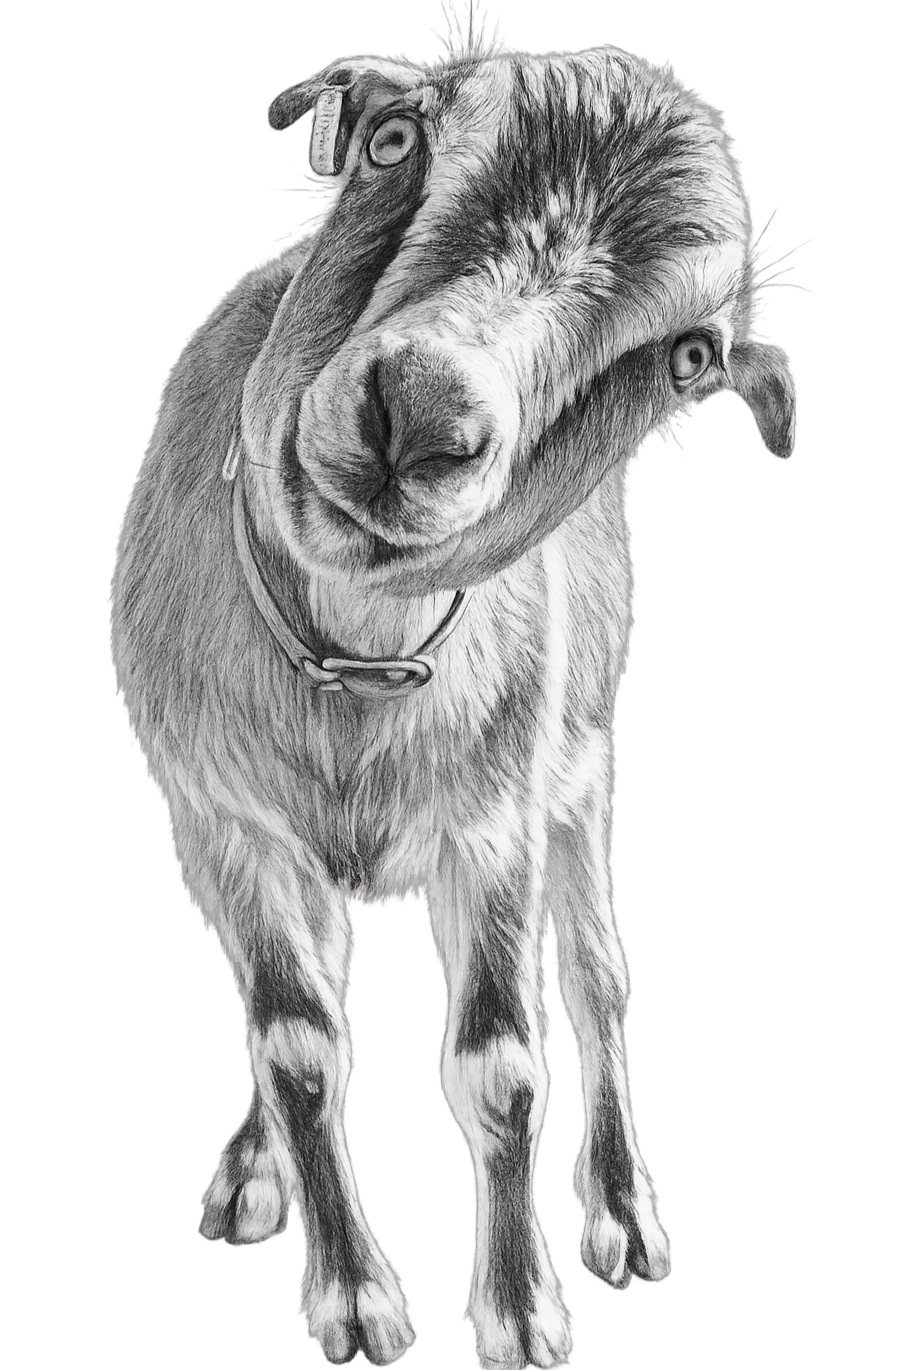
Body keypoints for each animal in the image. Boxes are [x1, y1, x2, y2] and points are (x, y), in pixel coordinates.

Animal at [113, 44, 795, 1370]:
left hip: (578, 775)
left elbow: (502, 1065)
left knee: (599, 976)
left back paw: (622, 1210)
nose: (422, 411)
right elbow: (297, 1040)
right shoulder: (225, 822)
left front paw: (521, 1304)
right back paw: (257, 1165)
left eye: (688, 357)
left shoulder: (492, 826)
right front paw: (353, 1294)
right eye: (393, 141)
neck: (350, 671)